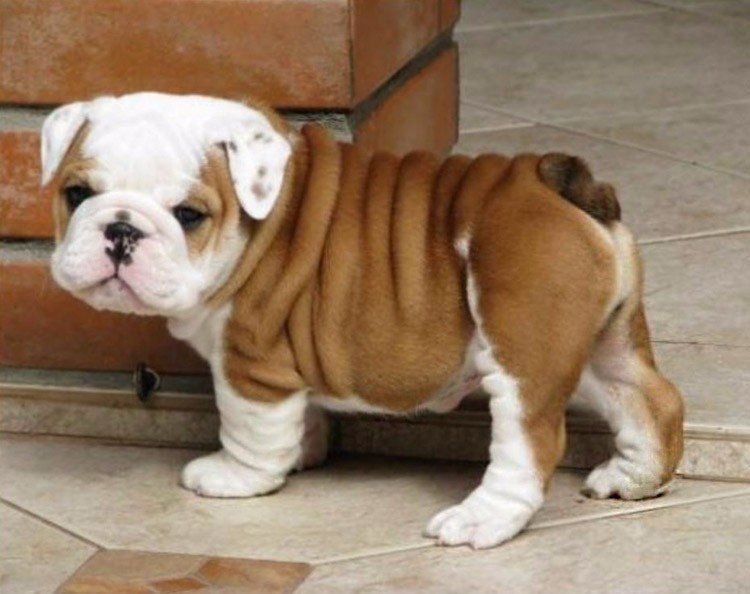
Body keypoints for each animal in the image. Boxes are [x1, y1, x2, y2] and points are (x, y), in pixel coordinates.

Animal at [41, 92, 684, 549]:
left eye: (188, 215)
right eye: (76, 194)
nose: (120, 229)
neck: (263, 218)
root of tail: (551, 180)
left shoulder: (251, 362)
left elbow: (249, 430)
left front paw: (235, 476)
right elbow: (298, 419)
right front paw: (304, 450)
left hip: (524, 348)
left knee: (530, 442)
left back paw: (479, 522)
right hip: (602, 342)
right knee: (648, 399)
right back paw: (633, 478)